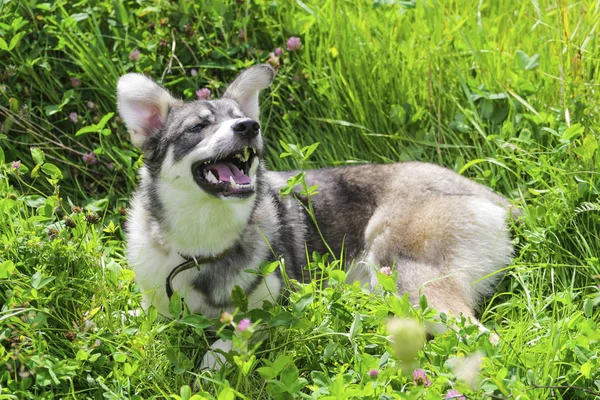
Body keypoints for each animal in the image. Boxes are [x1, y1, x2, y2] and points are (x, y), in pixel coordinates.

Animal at [116, 63, 516, 368]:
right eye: (198, 127)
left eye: (241, 119)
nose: (249, 127)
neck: (201, 247)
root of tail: (494, 199)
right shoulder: (156, 299)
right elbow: (138, 315)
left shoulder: (271, 307)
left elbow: (220, 347)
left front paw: (209, 367)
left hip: (402, 271)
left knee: (487, 340)